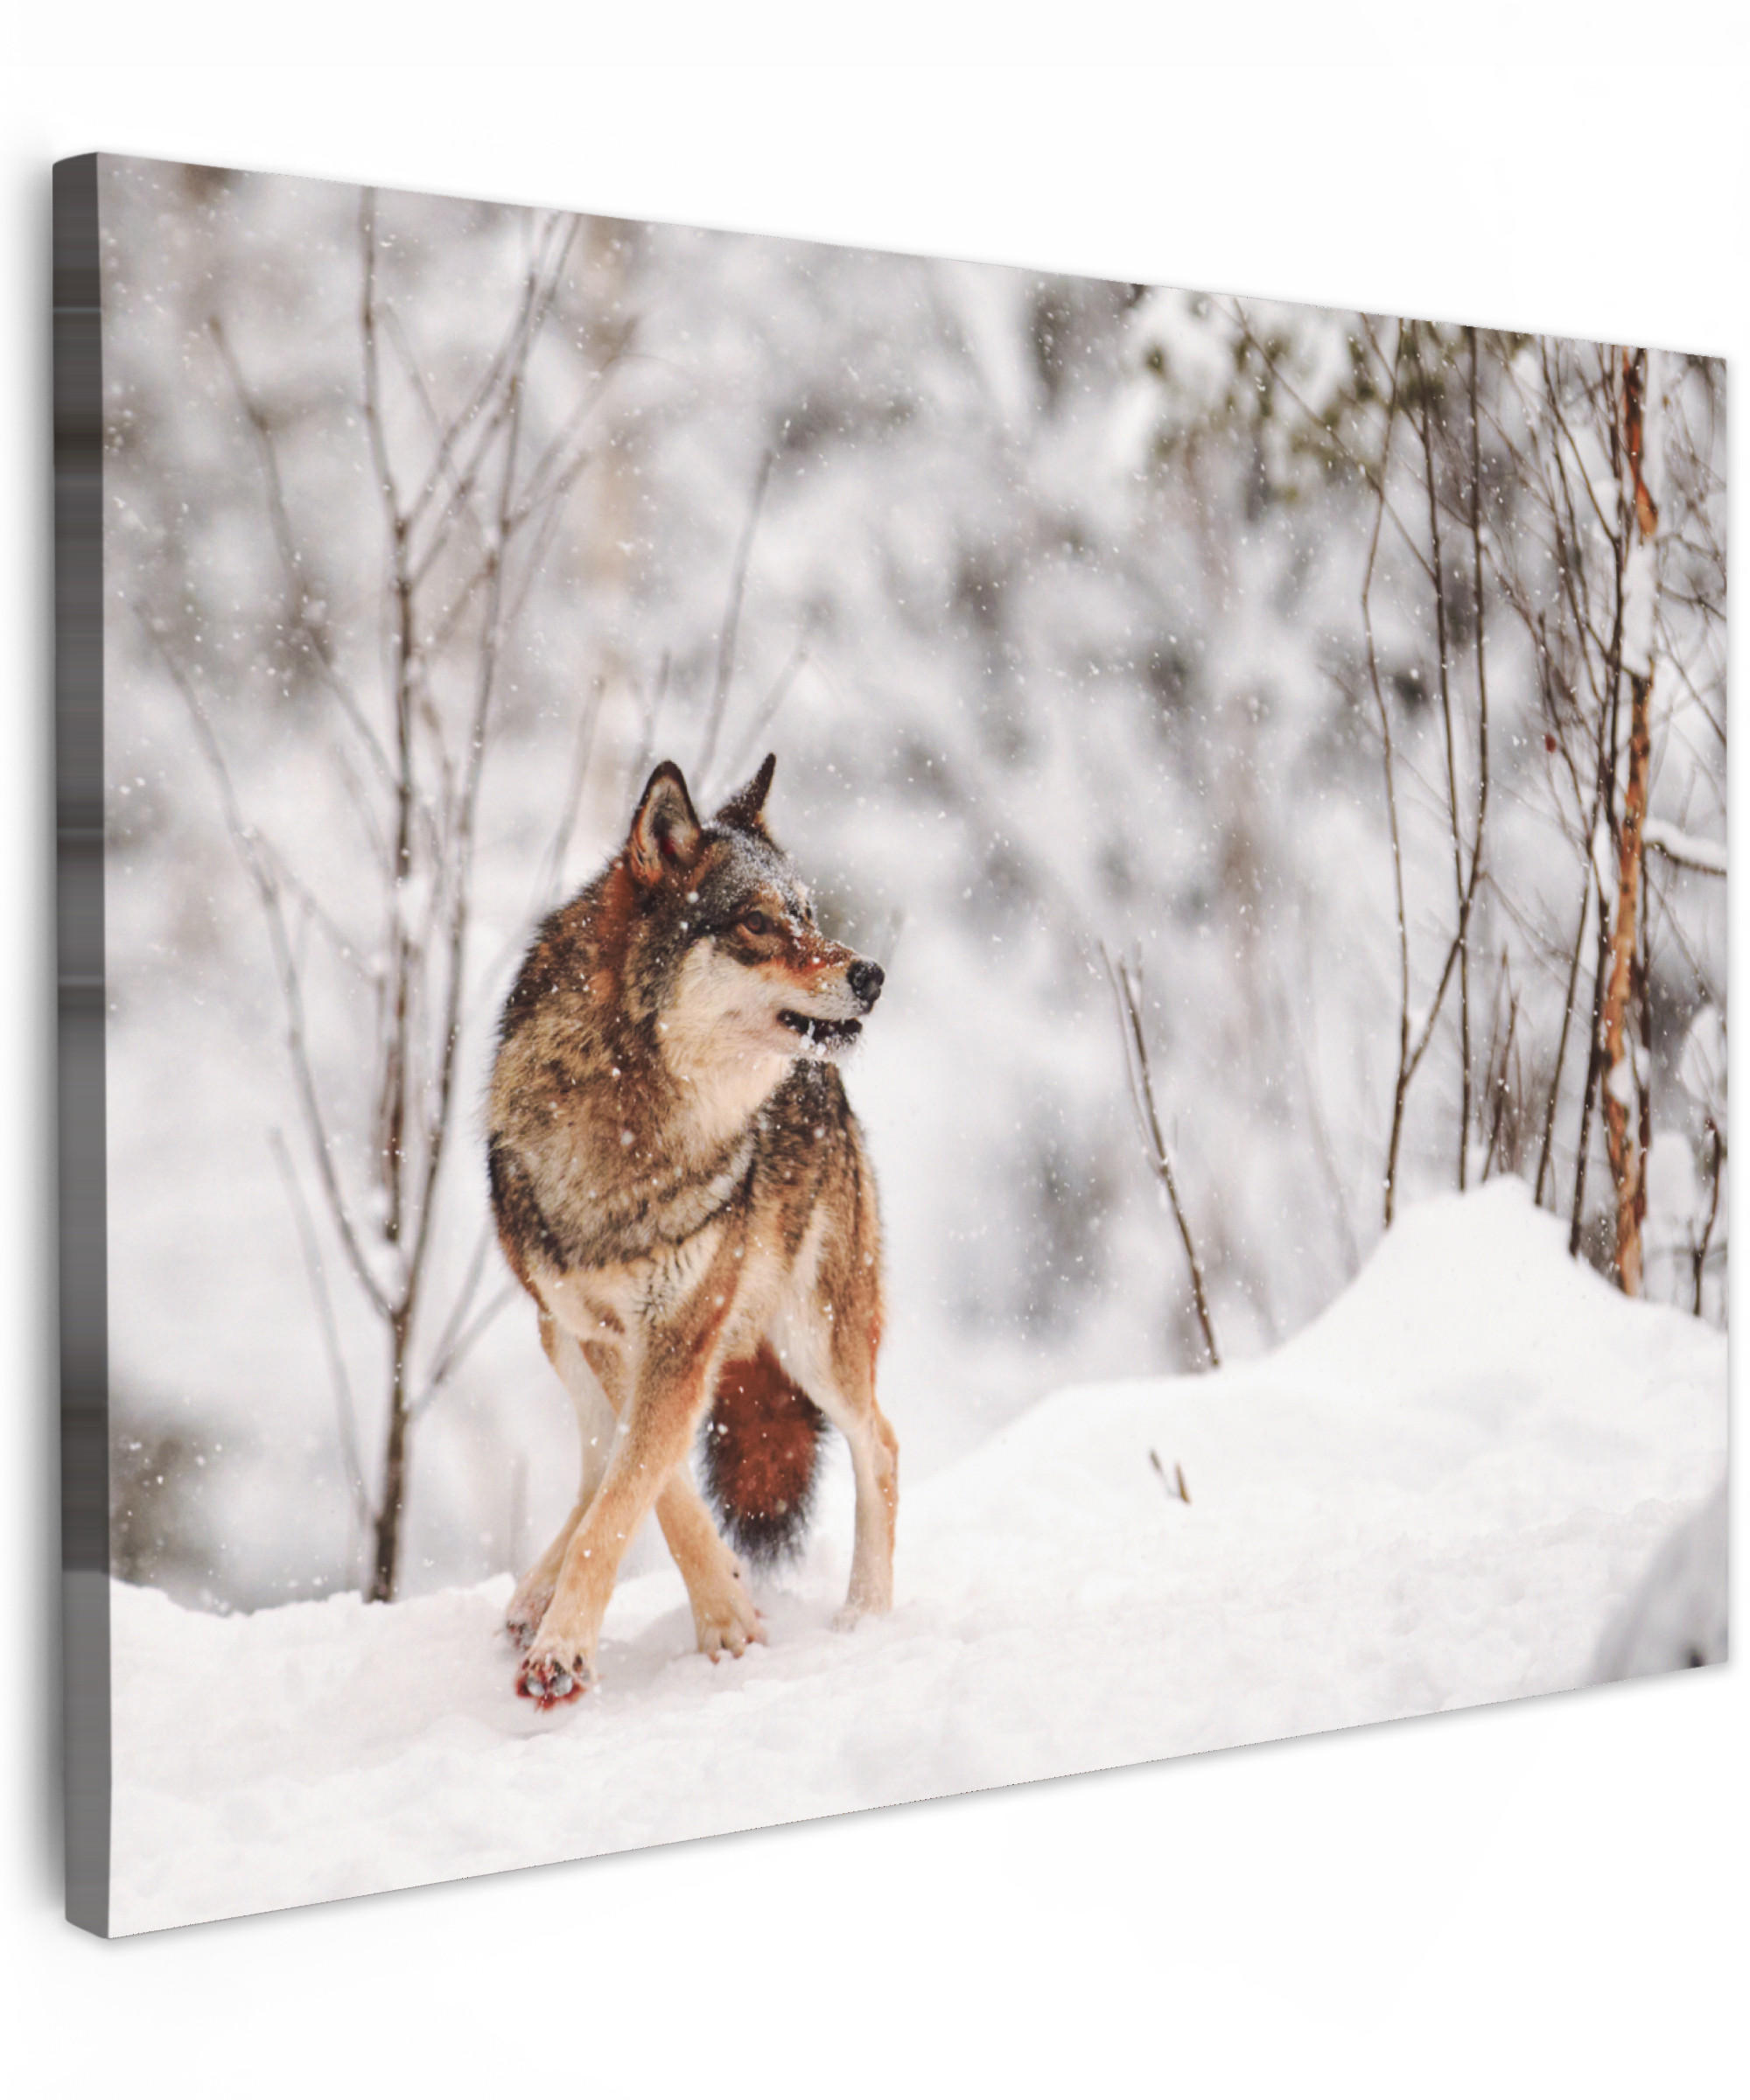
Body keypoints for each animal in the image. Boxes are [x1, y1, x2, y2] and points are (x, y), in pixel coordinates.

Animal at [487, 752, 897, 1707]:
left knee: (883, 1447)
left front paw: (568, 1651)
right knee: (597, 1460)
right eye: (756, 922)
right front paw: (724, 1613)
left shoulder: (681, 1332)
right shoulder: (609, 1334)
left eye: (808, 914)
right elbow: (648, 1487)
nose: (870, 973)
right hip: (556, 1335)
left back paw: (865, 1618)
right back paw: (531, 1597)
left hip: (816, 1340)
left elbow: (634, 1490)